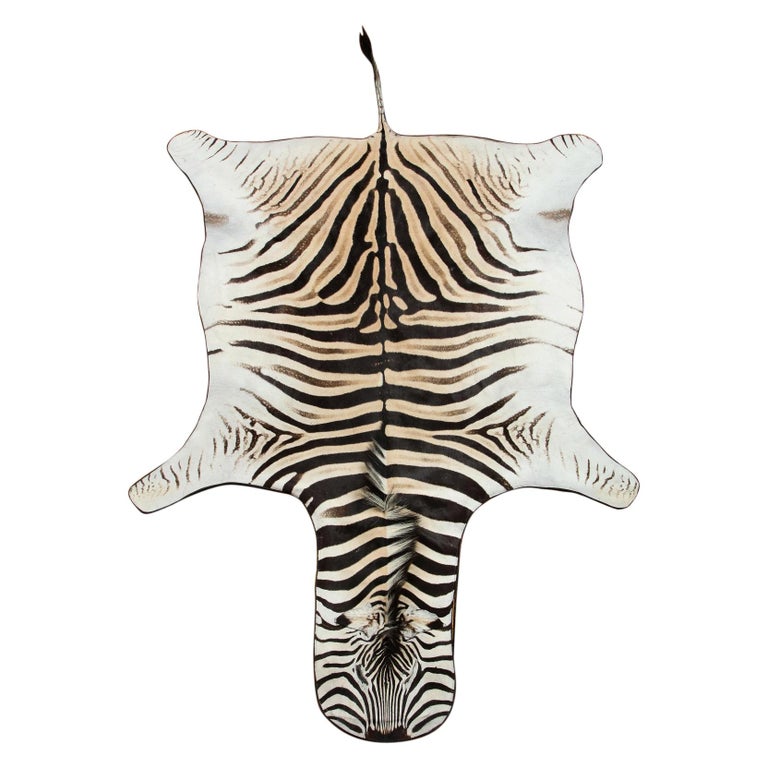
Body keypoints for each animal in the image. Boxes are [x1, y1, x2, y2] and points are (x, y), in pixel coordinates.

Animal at [129, 29, 638, 741]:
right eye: (339, 625)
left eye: (435, 626)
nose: (386, 735)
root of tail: (383, 141)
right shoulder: (247, 434)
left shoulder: (526, 435)